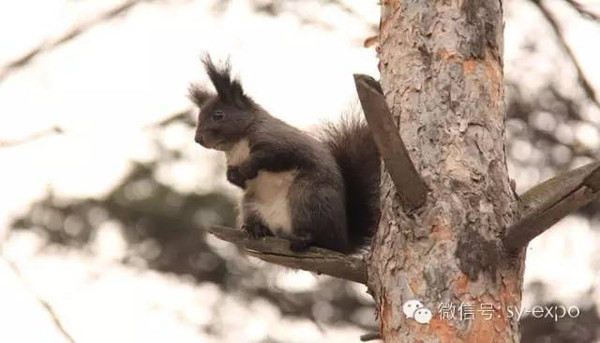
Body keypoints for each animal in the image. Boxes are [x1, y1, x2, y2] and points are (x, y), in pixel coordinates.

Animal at [190, 56, 382, 254]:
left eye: (218, 115)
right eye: (199, 116)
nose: (197, 139)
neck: (237, 143)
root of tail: (343, 242)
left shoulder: (278, 141)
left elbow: (271, 156)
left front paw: (247, 168)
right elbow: (239, 181)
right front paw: (232, 176)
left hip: (307, 196)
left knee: (320, 238)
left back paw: (304, 239)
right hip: (251, 204)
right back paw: (256, 229)